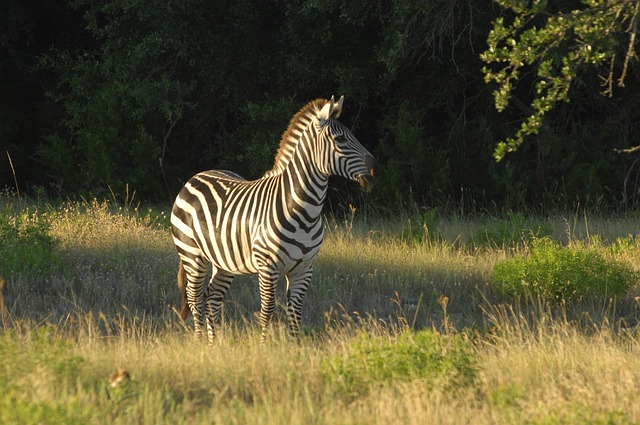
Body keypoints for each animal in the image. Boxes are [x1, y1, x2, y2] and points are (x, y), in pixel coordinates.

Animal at [170, 96, 379, 343]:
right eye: (340, 139)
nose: (376, 170)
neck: (304, 211)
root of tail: (196, 176)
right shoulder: (267, 266)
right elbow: (267, 311)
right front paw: (263, 347)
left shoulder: (304, 268)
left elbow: (295, 313)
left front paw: (295, 348)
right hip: (192, 255)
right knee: (194, 298)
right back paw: (201, 341)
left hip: (223, 261)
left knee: (212, 296)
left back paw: (214, 345)